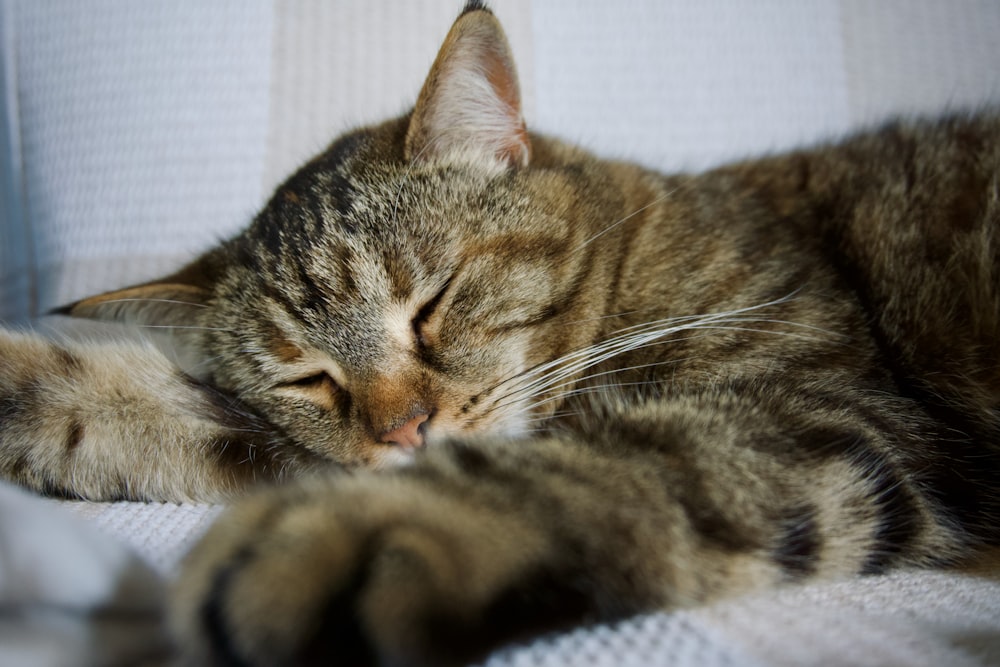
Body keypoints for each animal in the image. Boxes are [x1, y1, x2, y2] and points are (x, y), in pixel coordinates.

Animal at [1, 2, 1000, 664]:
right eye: (307, 377)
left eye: (432, 302)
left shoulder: (826, 402)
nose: (404, 430)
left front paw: (360, 533)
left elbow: (604, 462)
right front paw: (28, 389)